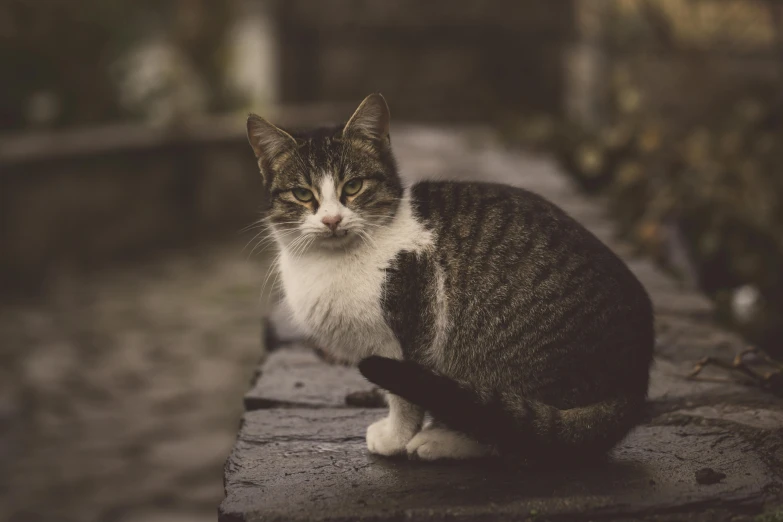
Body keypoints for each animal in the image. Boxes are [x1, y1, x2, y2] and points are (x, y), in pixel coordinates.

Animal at [247, 95, 656, 462]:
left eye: (353, 187)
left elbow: (405, 396)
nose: (332, 220)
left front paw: (395, 437)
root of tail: (635, 381)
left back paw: (442, 441)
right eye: (302, 194)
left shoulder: (404, 336)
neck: (332, 260)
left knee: (512, 427)